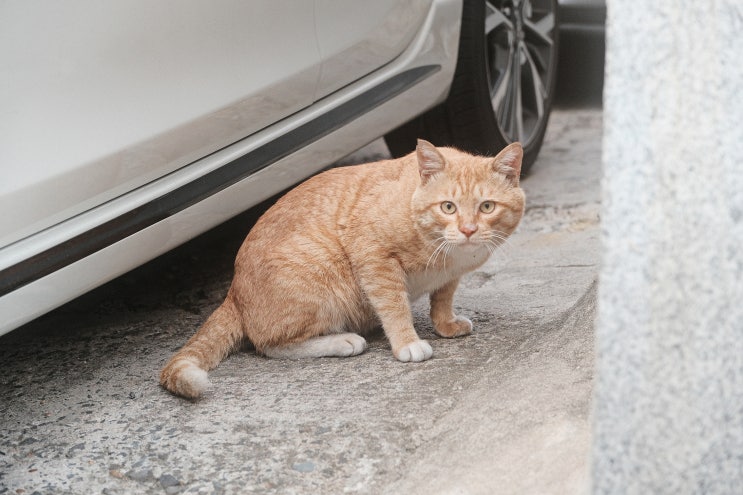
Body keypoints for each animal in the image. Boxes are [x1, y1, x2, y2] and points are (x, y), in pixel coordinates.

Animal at [160, 139, 528, 400]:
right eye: (448, 207)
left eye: (487, 206)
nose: (467, 230)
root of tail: (233, 292)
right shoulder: (374, 256)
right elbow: (394, 307)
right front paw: (407, 342)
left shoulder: (450, 277)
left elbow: (442, 298)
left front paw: (445, 324)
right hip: (322, 279)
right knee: (270, 344)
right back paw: (343, 341)